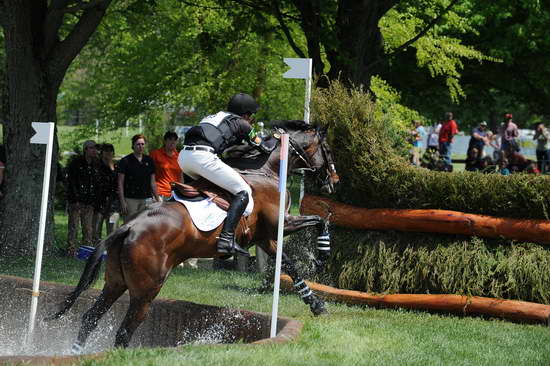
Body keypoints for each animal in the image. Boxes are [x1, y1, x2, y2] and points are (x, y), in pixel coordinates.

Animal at [48, 119, 340, 352]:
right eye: (327, 150)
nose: (333, 181)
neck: (266, 170)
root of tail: (128, 227)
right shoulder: (281, 224)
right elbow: (318, 223)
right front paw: (323, 256)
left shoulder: (264, 238)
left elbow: (290, 263)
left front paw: (316, 303)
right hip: (146, 290)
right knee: (124, 331)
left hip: (115, 282)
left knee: (91, 318)